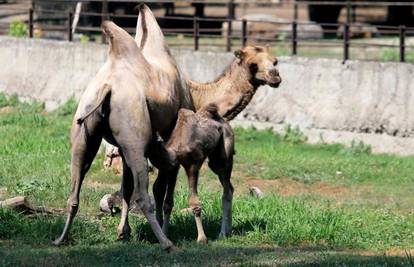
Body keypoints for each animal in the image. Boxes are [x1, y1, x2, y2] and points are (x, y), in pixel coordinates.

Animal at [149, 103, 234, 244]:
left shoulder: (193, 165)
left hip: (223, 154)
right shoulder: (173, 168)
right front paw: (165, 234)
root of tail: (224, 122)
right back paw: (228, 230)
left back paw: (222, 234)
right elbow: (168, 203)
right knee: (230, 189)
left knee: (226, 190)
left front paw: (202, 239)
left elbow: (194, 203)